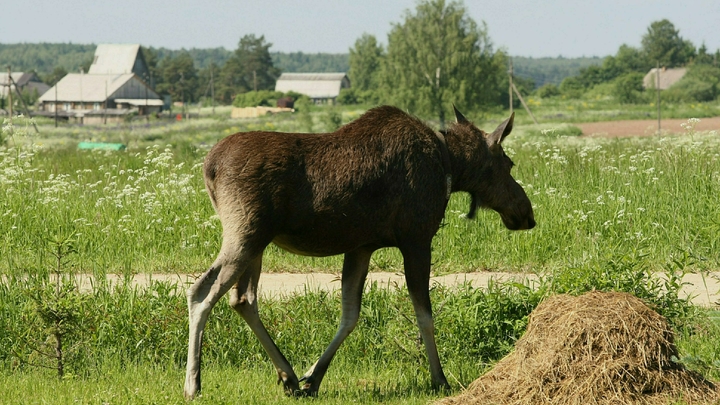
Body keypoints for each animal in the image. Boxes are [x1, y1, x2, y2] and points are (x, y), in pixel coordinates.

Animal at [184, 104, 536, 398]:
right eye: (508, 164)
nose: (527, 213)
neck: (450, 166)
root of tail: (209, 167)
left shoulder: (361, 247)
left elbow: (350, 314)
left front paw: (313, 377)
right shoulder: (417, 239)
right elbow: (425, 316)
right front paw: (440, 378)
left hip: (257, 241)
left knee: (243, 299)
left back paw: (288, 376)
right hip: (245, 233)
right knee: (202, 291)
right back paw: (193, 383)